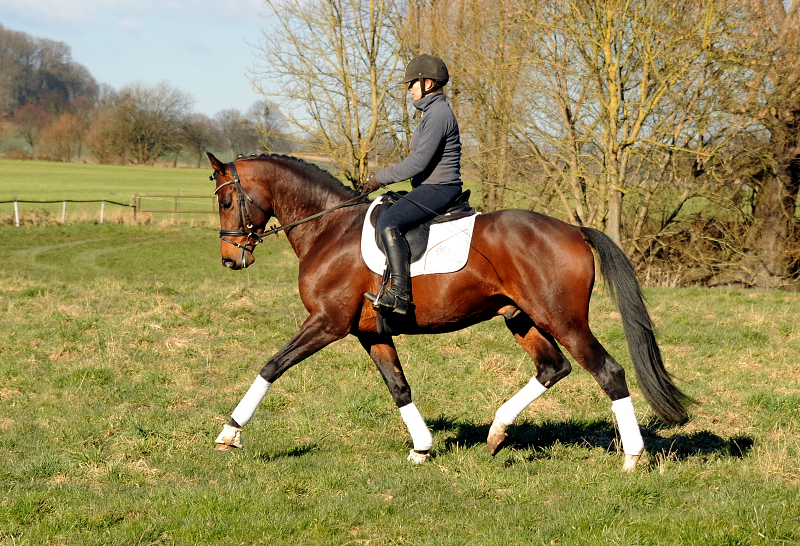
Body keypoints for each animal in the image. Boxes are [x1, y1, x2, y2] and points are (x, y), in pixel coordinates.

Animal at [209, 152, 692, 468]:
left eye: (227, 201)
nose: (230, 259)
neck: (329, 227)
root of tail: (573, 229)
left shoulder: (327, 323)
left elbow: (272, 366)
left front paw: (229, 434)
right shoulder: (371, 332)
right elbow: (399, 387)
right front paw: (422, 447)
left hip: (563, 319)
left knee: (608, 372)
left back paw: (632, 458)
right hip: (520, 317)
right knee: (553, 368)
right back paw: (496, 434)